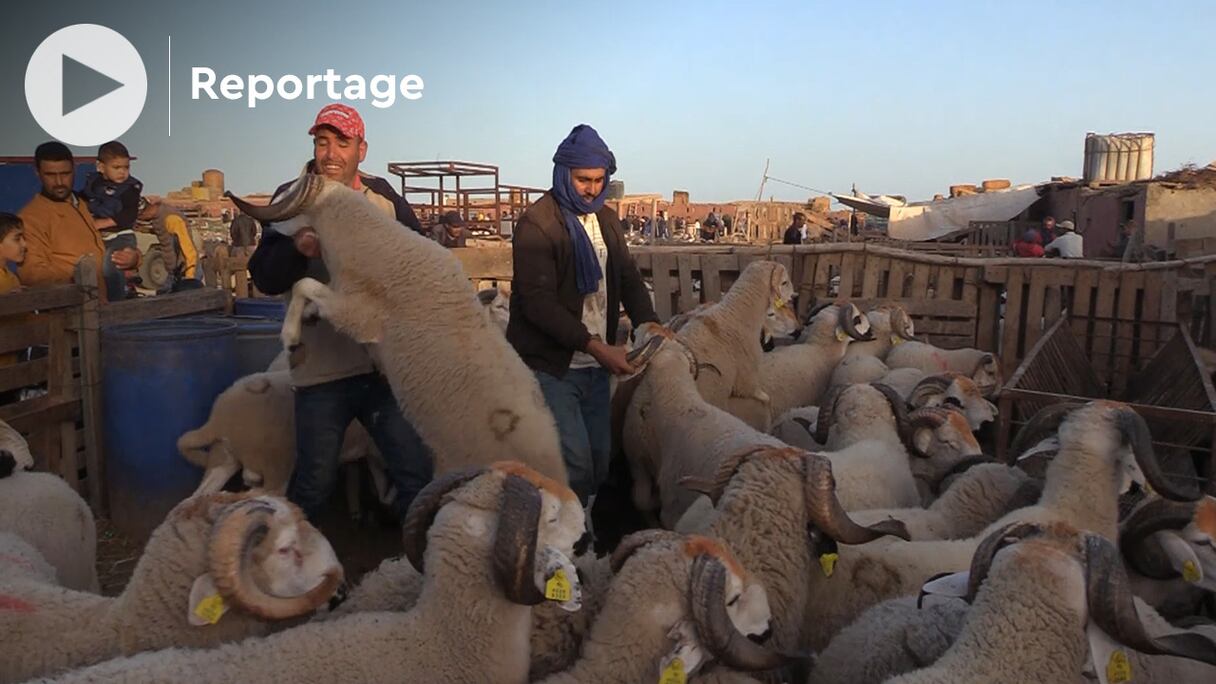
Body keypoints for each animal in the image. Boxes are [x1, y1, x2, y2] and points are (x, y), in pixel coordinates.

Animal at [226, 172, 566, 481]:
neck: (381, 245)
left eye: (291, 194)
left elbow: (303, 284)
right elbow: (306, 289)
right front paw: (306, 318)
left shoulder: (357, 314)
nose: (267, 231)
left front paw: (290, 335)